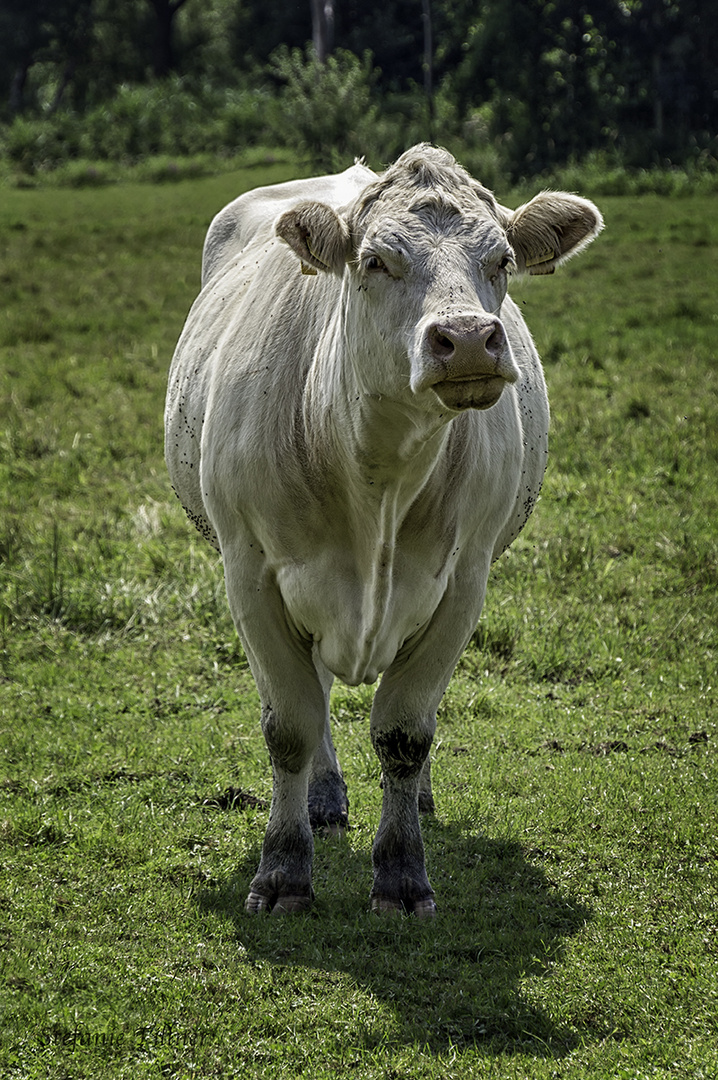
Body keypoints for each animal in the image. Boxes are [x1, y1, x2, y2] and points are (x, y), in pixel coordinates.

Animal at [165, 147, 600, 915]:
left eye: (503, 259)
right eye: (374, 260)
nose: (468, 342)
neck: (377, 474)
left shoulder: (464, 580)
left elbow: (405, 729)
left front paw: (400, 873)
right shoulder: (250, 572)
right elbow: (291, 724)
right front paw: (283, 872)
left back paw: (415, 799)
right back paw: (323, 798)